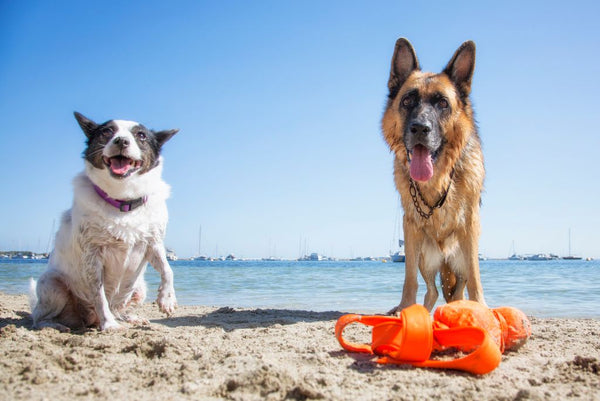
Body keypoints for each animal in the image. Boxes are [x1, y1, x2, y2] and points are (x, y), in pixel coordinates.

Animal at [31, 112, 178, 332]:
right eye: (107, 131)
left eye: (141, 135)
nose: (121, 140)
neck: (123, 201)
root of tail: (89, 320)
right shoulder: (92, 255)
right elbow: (99, 296)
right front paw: (109, 325)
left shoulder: (153, 243)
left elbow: (168, 270)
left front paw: (167, 299)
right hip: (52, 285)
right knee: (38, 317)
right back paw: (56, 325)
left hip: (140, 288)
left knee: (118, 308)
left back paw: (131, 318)